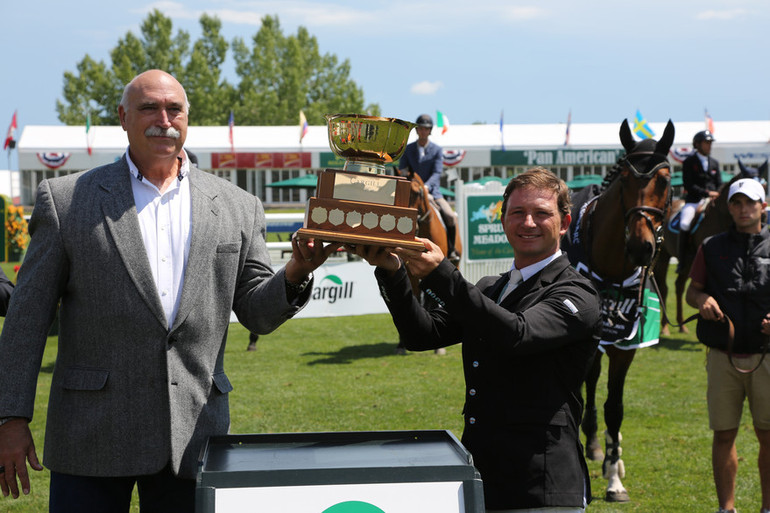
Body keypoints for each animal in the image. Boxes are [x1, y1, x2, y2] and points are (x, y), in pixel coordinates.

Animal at [560, 117, 676, 500]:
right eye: (625, 179)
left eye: (665, 180)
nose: (641, 246)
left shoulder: (626, 346)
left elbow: (616, 408)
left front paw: (614, 476)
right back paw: (594, 444)